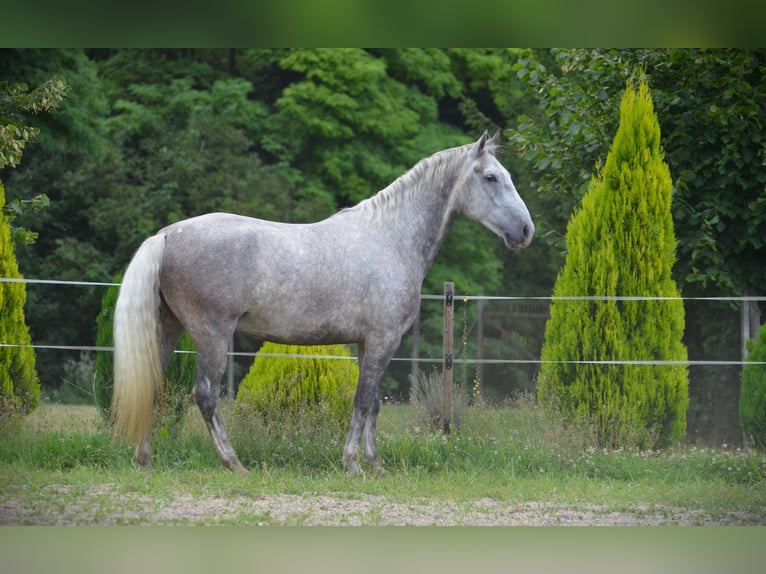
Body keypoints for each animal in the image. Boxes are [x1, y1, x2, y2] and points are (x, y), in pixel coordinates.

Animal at [112, 132, 536, 476]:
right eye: (491, 177)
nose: (526, 231)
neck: (391, 238)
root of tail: (166, 235)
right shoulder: (383, 341)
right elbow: (362, 401)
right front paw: (352, 464)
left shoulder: (369, 344)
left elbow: (374, 403)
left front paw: (375, 465)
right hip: (211, 335)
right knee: (205, 395)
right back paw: (234, 463)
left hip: (168, 328)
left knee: (153, 385)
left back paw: (145, 460)